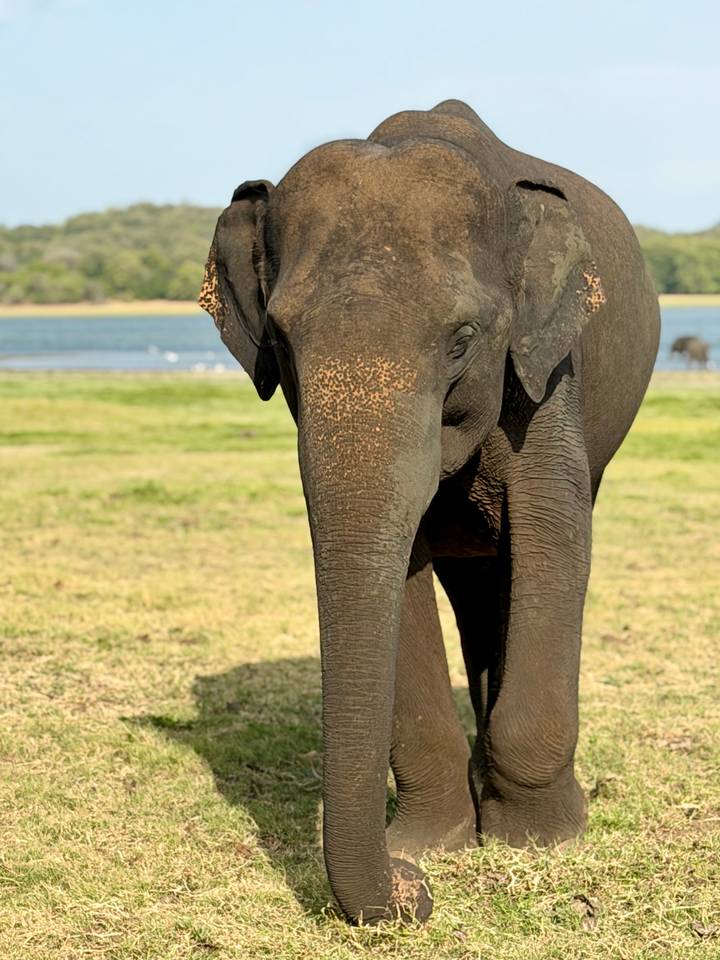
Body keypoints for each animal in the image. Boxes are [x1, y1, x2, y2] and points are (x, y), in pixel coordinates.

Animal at [199, 99, 660, 925]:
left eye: (462, 339)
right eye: (278, 339)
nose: (413, 894)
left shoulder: (546, 373)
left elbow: (555, 539)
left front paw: (543, 839)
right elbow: (401, 569)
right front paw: (431, 845)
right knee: (476, 596)